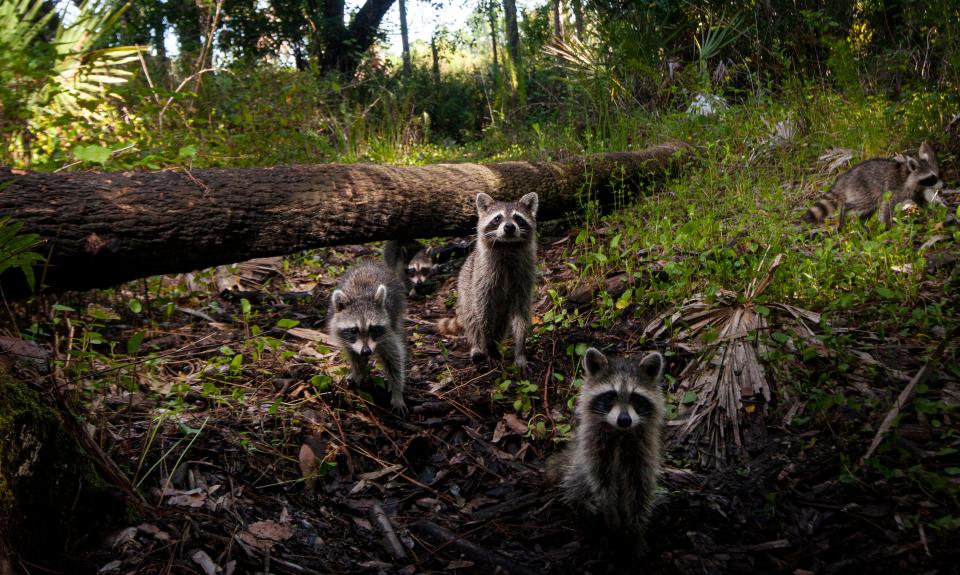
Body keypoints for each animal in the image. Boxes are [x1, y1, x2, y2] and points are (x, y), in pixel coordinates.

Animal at [328, 260, 406, 414]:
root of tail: (369, 262)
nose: (366, 351)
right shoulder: (347, 340)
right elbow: (355, 357)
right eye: (354, 330)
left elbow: (394, 360)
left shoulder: (386, 334)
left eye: (373, 329)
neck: (361, 296)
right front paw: (358, 373)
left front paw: (397, 392)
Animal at [436, 192, 540, 368]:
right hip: (465, 287)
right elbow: (482, 314)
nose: (509, 227)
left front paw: (520, 350)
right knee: (472, 319)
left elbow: (521, 314)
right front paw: (489, 345)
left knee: (501, 323)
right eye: (497, 218)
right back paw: (478, 348)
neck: (507, 247)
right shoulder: (482, 279)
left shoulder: (524, 278)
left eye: (518, 218)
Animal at [552, 346, 664, 544]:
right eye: (611, 395)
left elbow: (640, 487)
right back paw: (581, 501)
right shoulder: (593, 446)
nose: (624, 420)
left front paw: (636, 529)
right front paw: (610, 513)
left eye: (636, 398)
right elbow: (600, 481)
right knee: (577, 475)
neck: (619, 431)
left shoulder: (643, 451)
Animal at [804, 140, 944, 230]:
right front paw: (887, 226)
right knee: (860, 204)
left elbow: (920, 200)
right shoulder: (895, 188)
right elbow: (888, 206)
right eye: (931, 177)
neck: (909, 175)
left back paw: (862, 224)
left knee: (870, 208)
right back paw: (845, 210)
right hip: (863, 189)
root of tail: (844, 178)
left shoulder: (914, 190)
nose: (942, 185)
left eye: (935, 175)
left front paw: (932, 213)